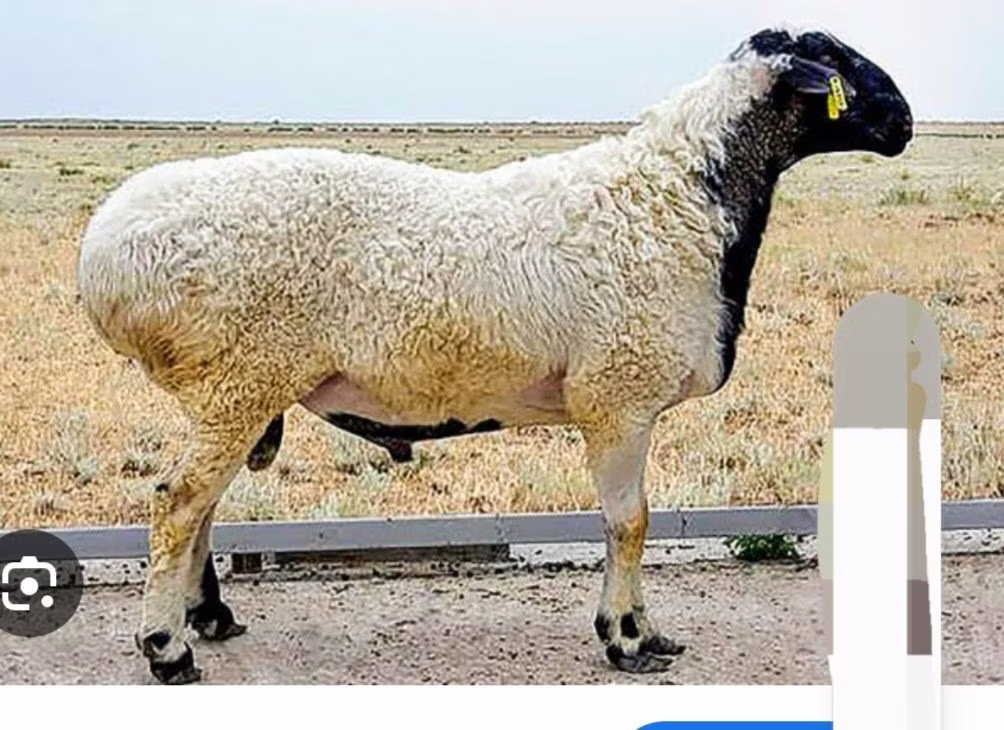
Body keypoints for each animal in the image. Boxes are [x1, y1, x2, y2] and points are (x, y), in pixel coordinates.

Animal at [77, 26, 912, 684]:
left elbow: (630, 521)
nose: (904, 120)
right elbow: (630, 522)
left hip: (238, 389)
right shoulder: (618, 398)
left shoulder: (626, 404)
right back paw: (168, 649)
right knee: (179, 502)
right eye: (836, 58)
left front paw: (649, 632)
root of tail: (105, 253)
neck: (679, 197)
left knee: (202, 503)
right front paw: (627, 640)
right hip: (241, 376)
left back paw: (209, 618)